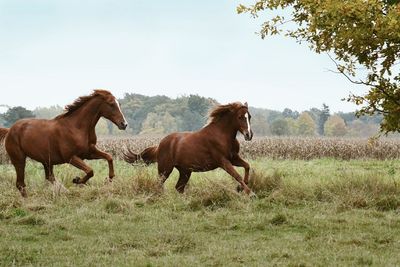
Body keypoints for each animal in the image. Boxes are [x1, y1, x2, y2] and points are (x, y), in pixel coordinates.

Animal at [125, 101, 255, 196]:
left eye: (249, 116)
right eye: (240, 117)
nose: (249, 135)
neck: (222, 135)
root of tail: (159, 145)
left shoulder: (234, 158)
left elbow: (247, 166)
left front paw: (241, 187)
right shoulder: (223, 161)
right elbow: (237, 175)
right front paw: (250, 193)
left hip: (185, 171)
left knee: (179, 187)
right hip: (165, 169)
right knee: (159, 183)